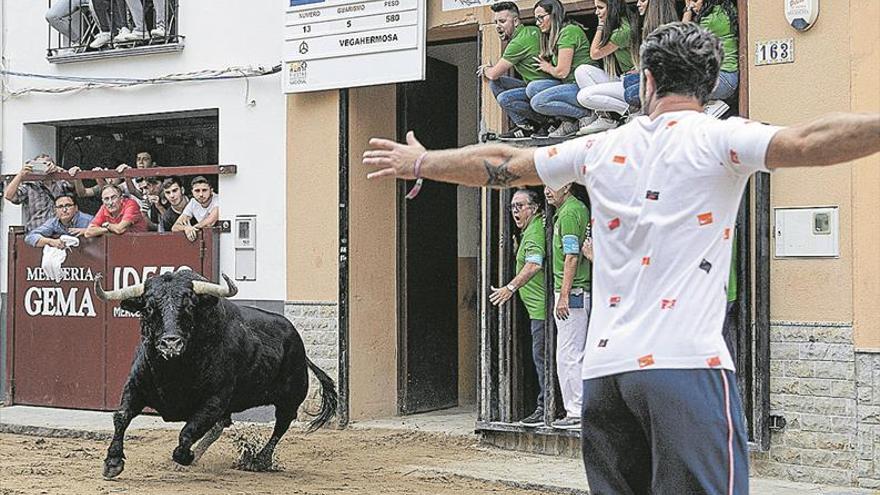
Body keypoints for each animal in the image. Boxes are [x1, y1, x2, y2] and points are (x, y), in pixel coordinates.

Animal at [95, 272, 336, 480]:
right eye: (149, 308)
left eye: (189, 306)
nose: (170, 343)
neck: (173, 370)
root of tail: (296, 339)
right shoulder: (134, 387)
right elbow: (121, 417)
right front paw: (112, 463)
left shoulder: (214, 401)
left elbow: (188, 431)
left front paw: (185, 457)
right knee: (221, 427)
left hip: (290, 398)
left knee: (281, 425)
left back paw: (259, 461)